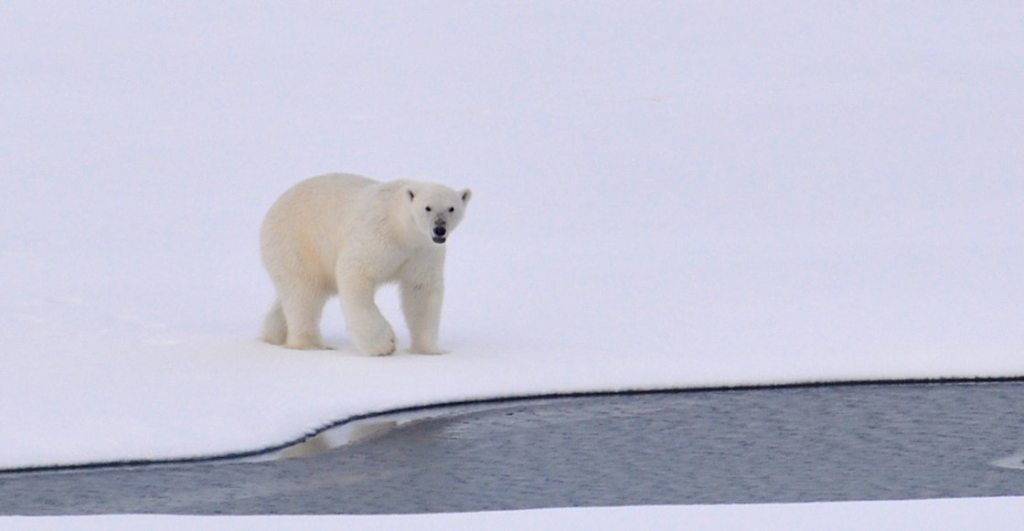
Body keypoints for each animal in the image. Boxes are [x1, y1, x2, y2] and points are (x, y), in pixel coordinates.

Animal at [262, 174, 473, 358]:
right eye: (427, 208)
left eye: (451, 208)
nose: (439, 229)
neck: (401, 229)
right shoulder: (377, 235)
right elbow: (355, 271)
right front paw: (383, 345)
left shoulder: (423, 251)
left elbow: (421, 290)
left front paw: (429, 350)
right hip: (297, 245)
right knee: (303, 294)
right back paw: (310, 344)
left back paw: (272, 335)